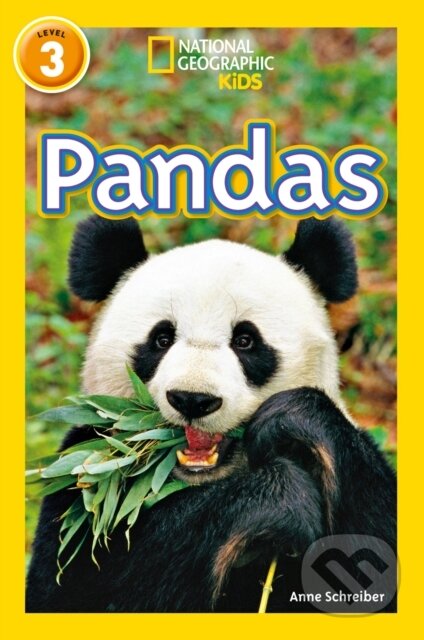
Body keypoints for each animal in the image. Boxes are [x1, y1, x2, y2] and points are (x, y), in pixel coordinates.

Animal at [26, 215, 396, 613]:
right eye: (161, 339)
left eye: (246, 341)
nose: (193, 399)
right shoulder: (86, 480)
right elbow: (79, 588)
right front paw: (279, 498)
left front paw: (293, 419)